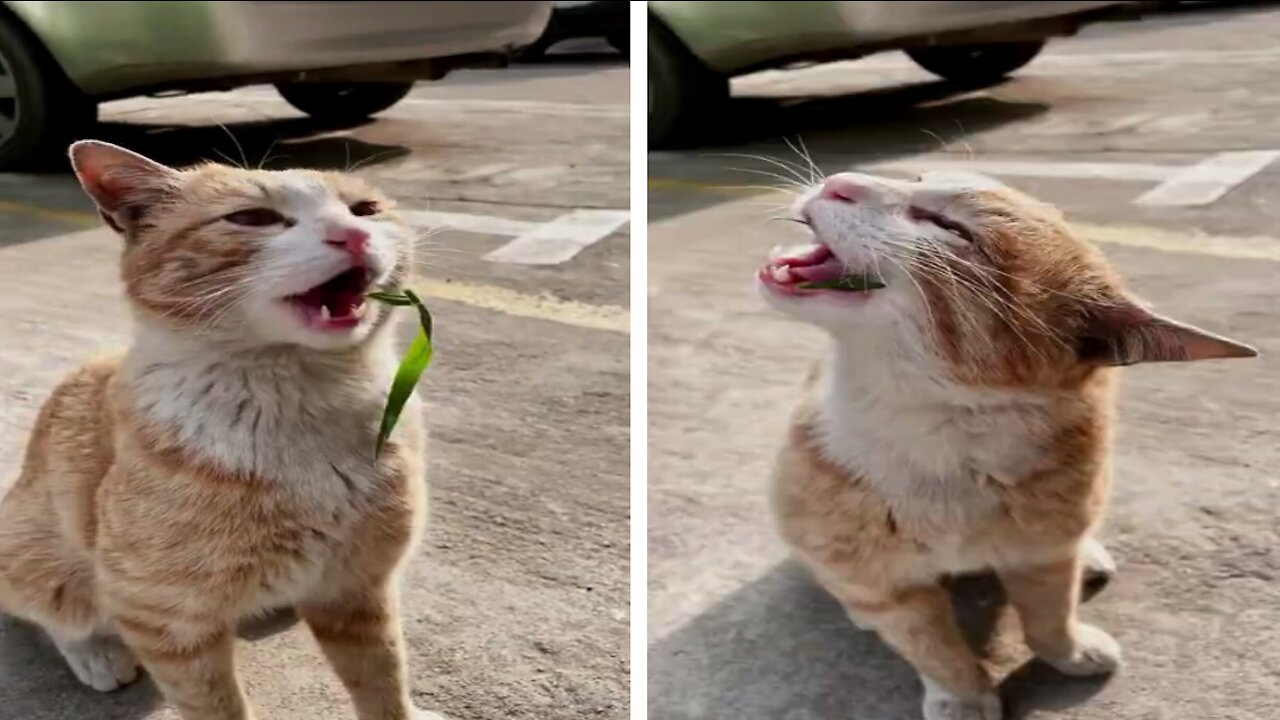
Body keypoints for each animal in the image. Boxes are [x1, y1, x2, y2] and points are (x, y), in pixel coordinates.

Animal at [0, 141, 445, 717]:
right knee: (50, 608)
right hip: (46, 557)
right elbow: (216, 704)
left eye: (365, 210)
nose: (352, 235)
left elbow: (383, 678)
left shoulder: (356, 587)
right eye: (253, 219)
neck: (302, 405)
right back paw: (96, 655)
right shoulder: (164, 621)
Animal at [752, 169, 1254, 717]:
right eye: (918, 176)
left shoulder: (1042, 558)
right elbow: (934, 649)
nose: (840, 181)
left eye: (952, 228)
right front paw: (964, 699)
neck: (944, 434)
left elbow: (1049, 618)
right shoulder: (885, 588)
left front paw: (1068, 652)